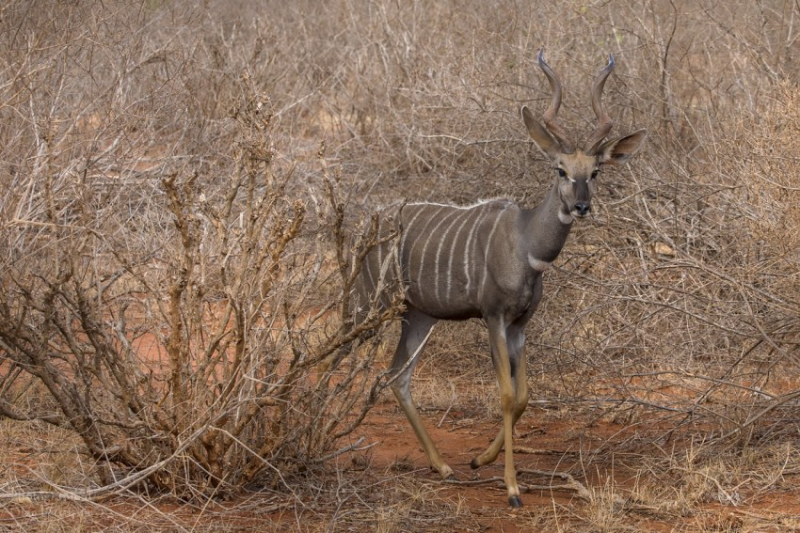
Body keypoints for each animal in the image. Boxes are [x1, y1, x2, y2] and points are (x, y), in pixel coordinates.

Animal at [360, 50, 648, 508]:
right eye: (560, 169)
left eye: (596, 172)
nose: (582, 206)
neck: (527, 244)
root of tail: (365, 225)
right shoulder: (493, 318)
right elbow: (508, 395)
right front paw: (512, 488)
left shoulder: (519, 326)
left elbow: (524, 397)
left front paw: (480, 459)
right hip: (368, 305)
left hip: (419, 316)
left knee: (398, 376)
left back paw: (442, 466)